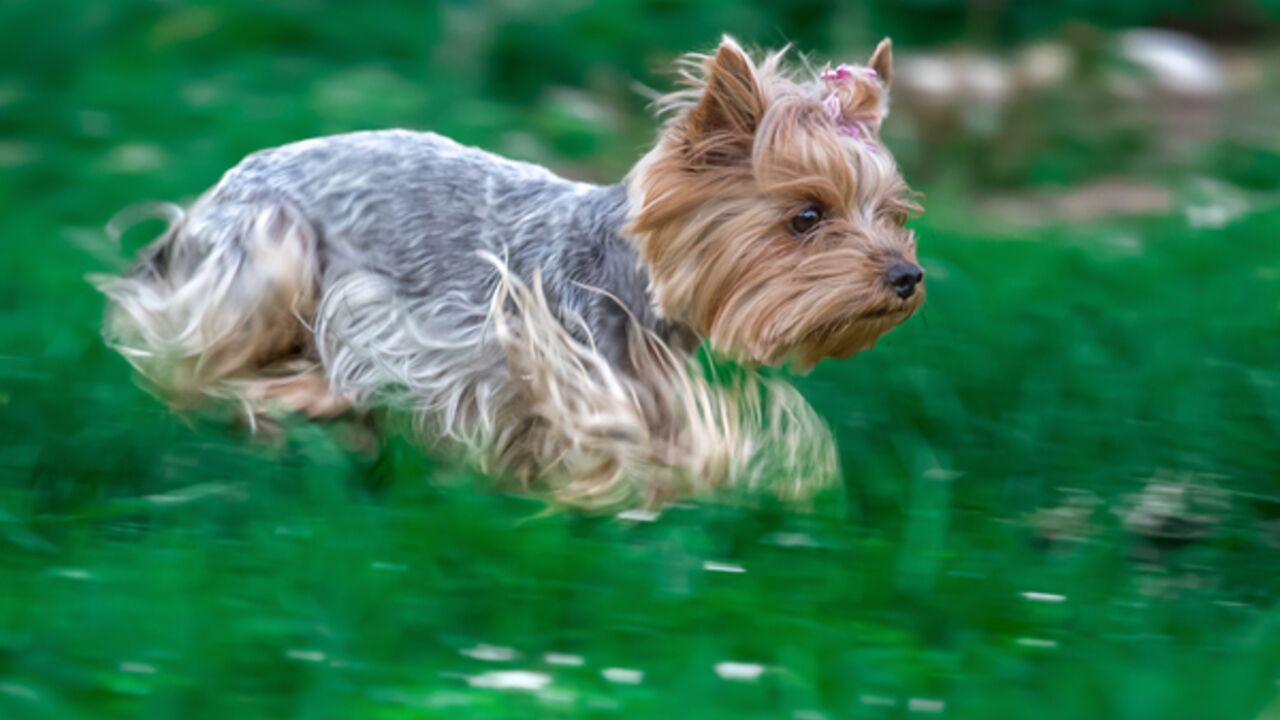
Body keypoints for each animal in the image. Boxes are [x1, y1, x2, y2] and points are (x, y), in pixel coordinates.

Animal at [94, 39, 926, 507]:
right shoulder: (519, 356)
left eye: (892, 213)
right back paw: (288, 398)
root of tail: (218, 189)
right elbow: (653, 445)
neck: (626, 276)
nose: (906, 277)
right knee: (184, 362)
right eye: (807, 215)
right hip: (272, 249)